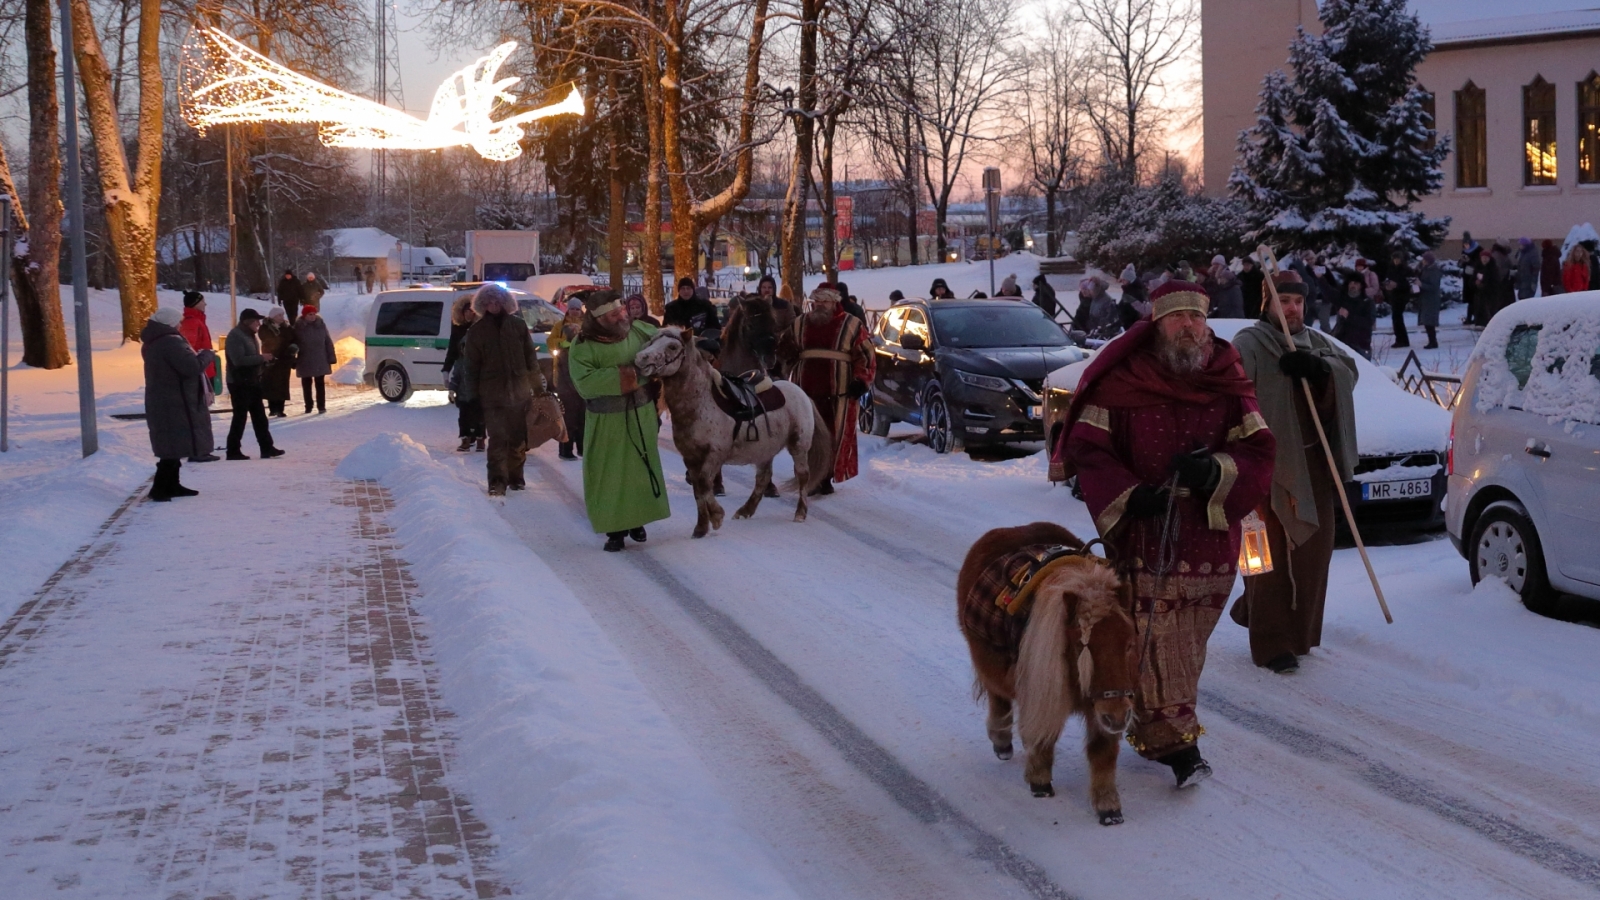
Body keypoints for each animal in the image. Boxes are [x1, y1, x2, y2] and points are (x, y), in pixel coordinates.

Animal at [953, 522, 1145, 826]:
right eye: (1080, 645)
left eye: (1129, 643)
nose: (1116, 717)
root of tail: (1007, 530)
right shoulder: (1042, 687)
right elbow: (1045, 735)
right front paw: (1040, 781)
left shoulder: (1103, 703)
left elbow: (1103, 752)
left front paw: (1108, 807)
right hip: (988, 664)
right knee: (998, 698)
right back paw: (1002, 742)